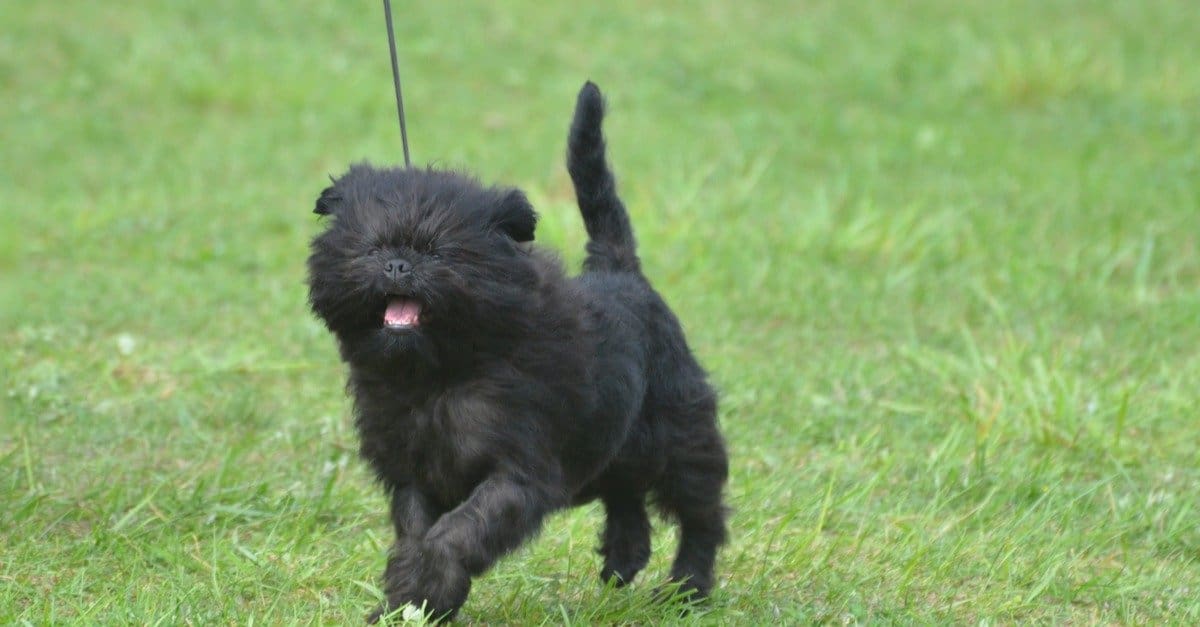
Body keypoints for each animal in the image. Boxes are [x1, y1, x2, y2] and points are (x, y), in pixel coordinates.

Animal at [304, 82, 724, 619]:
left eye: (440, 252)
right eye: (370, 247)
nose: (398, 264)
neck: (438, 374)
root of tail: (620, 270)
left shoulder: (517, 473)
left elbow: (456, 533)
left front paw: (423, 588)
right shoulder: (414, 475)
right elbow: (416, 534)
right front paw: (409, 604)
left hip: (680, 434)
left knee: (700, 514)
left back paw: (687, 590)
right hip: (616, 443)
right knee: (626, 496)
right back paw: (622, 562)